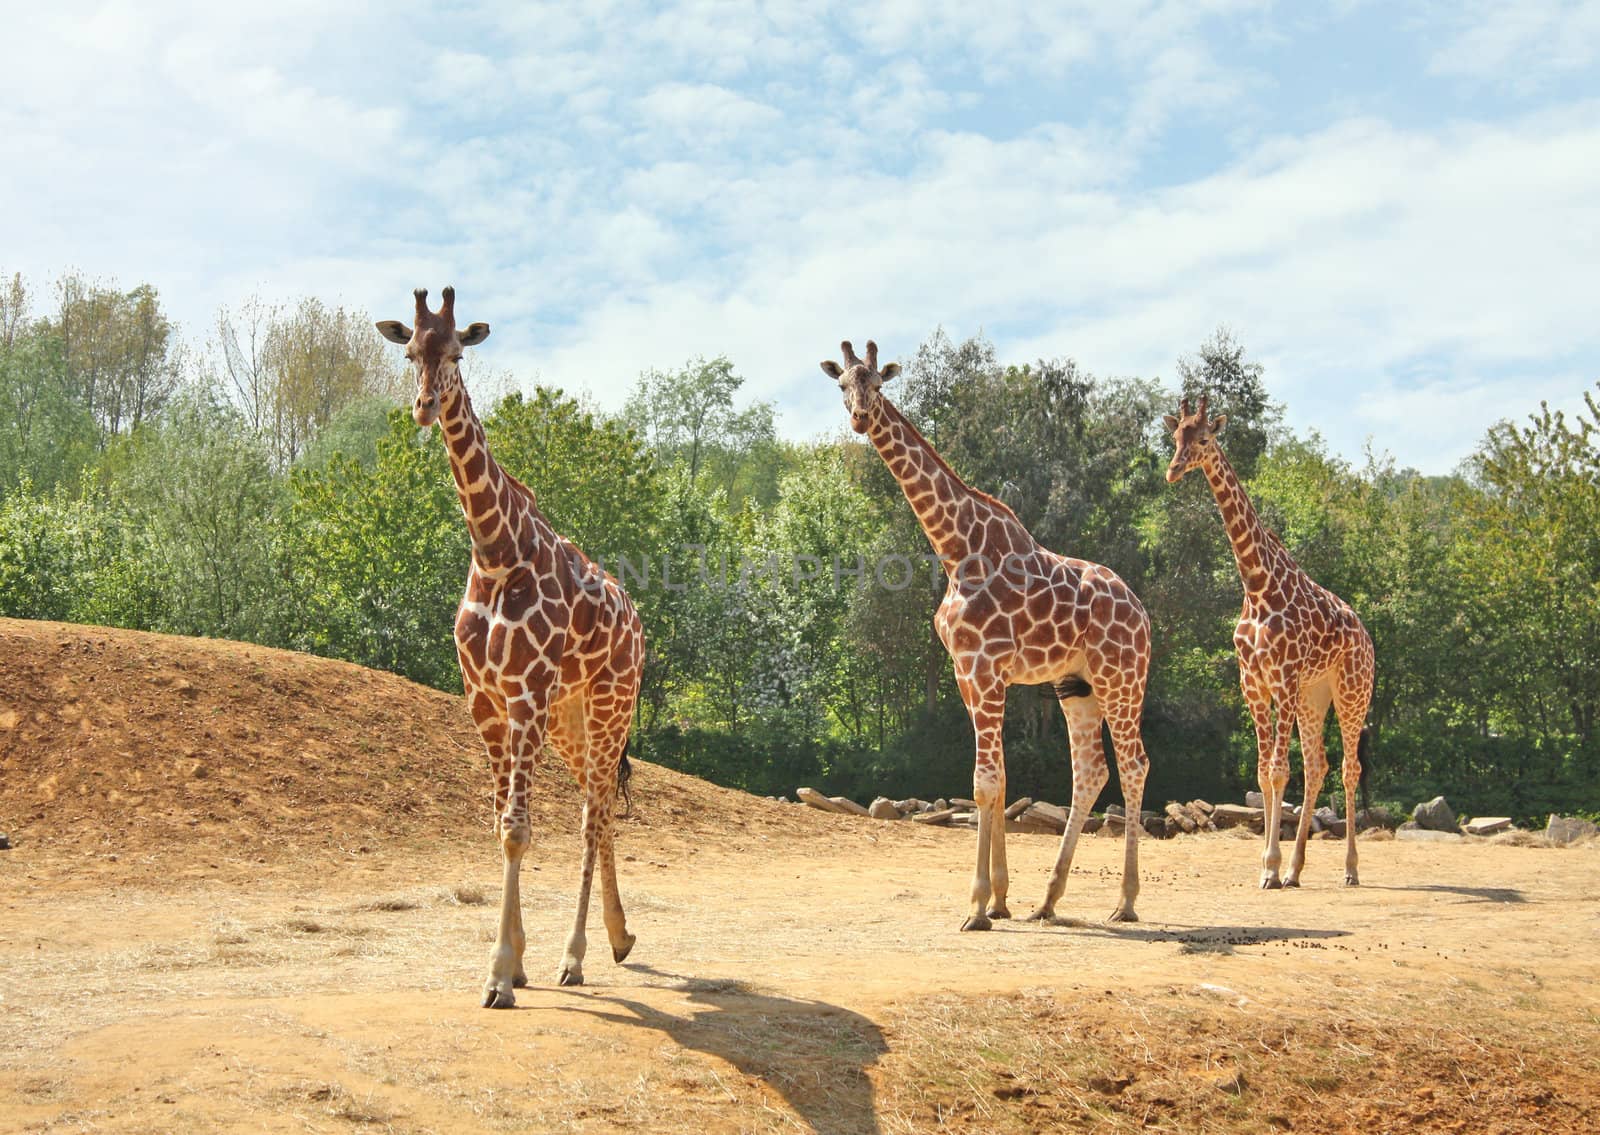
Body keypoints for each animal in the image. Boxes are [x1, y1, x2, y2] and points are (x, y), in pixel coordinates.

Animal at [374, 288, 643, 1005]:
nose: (423, 407)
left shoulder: (523, 696)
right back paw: (619, 938)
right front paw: (516, 962)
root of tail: (638, 621)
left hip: (610, 704)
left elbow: (519, 829)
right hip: (570, 718)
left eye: (458, 353)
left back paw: (577, 955)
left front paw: (499, 975)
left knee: (593, 813)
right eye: (409, 352)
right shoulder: (486, 700)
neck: (494, 552)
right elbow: (501, 822)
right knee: (599, 806)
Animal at [825, 339, 1152, 928]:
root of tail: (1142, 612)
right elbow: (997, 782)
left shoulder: (986, 667)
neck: (956, 550)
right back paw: (1048, 899)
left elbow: (986, 784)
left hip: (1122, 678)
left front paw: (976, 905)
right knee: (1090, 772)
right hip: (1077, 685)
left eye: (878, 385)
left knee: (1134, 766)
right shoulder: (969, 674)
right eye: (842, 384)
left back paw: (1126, 901)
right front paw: (1000, 899)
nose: (860, 418)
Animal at [1164, 397, 1376, 883]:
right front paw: (1270, 864)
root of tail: (1366, 635)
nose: (1173, 469)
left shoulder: (1283, 678)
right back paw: (1298, 869)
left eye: (1205, 439)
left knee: (1349, 768)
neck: (1258, 585)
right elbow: (1263, 773)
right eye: (1175, 436)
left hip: (1352, 691)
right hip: (1315, 695)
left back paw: (1351, 869)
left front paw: (1271, 868)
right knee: (1317, 765)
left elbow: (1278, 772)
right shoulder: (1254, 683)